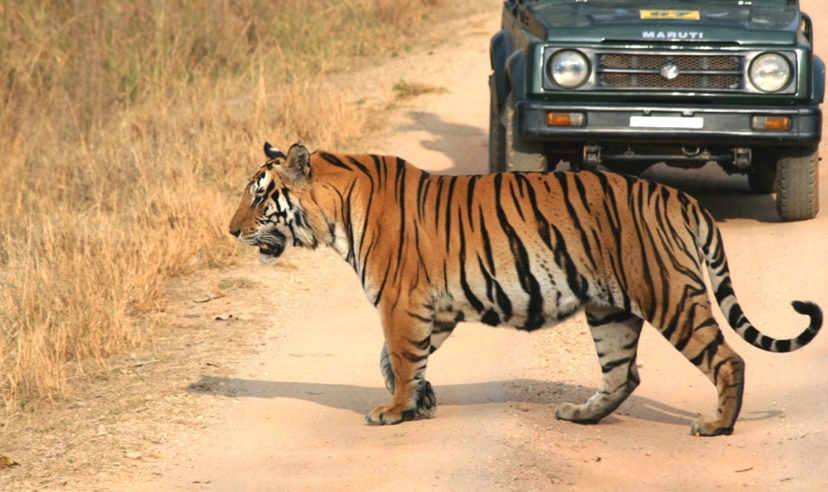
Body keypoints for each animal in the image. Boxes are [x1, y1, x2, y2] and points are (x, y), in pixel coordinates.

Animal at [228, 142, 822, 436]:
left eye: (259, 197)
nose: (231, 231)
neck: (335, 211)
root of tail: (681, 198)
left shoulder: (402, 302)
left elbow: (397, 358)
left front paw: (394, 411)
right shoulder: (434, 309)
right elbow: (397, 361)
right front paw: (422, 402)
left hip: (668, 294)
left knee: (727, 358)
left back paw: (717, 425)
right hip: (609, 310)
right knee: (623, 373)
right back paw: (582, 416)